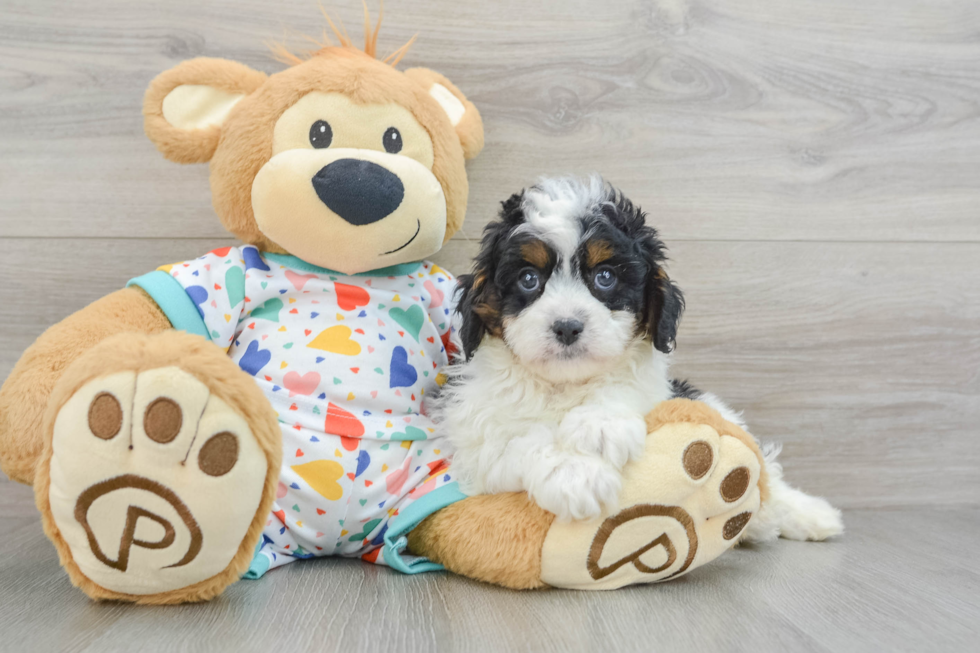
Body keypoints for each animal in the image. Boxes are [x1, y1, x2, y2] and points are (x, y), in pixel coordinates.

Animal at [436, 174, 844, 540]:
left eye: (605, 277)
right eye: (528, 279)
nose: (567, 327)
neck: (565, 386)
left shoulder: (659, 389)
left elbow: (626, 385)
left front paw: (600, 424)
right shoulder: (473, 436)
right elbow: (514, 441)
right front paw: (576, 474)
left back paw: (806, 515)